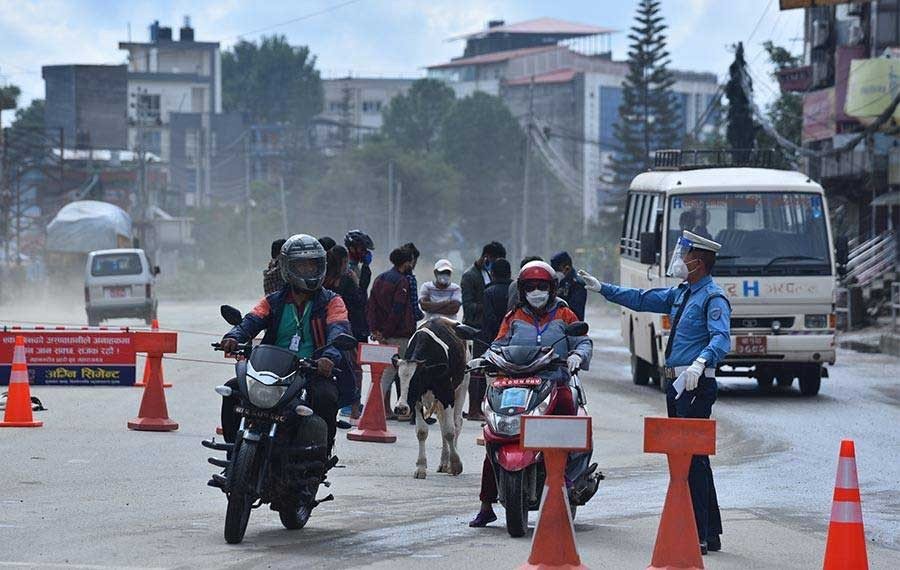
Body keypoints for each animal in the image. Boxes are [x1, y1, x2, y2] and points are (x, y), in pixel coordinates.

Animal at [398, 318, 474, 478]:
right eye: (399, 379)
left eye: (416, 380)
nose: (401, 408)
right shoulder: (417, 400)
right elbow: (422, 431)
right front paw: (421, 467)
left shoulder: (447, 394)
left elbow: (450, 431)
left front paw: (455, 464)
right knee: (442, 423)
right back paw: (444, 462)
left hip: (463, 384)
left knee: (456, 422)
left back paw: (449, 463)